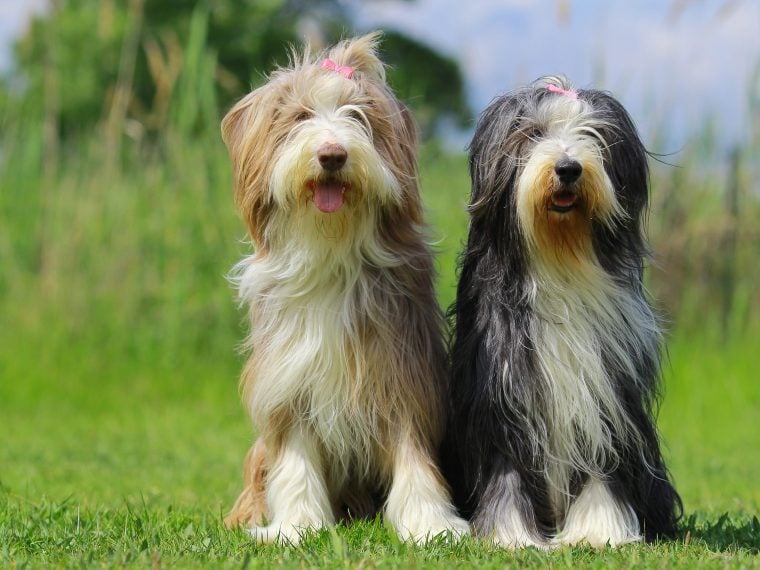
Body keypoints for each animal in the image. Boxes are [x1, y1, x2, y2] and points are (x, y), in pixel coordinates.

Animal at [220, 33, 470, 544]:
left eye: (359, 117)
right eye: (300, 117)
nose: (333, 154)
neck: (331, 254)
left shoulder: (402, 369)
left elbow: (412, 451)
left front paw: (429, 523)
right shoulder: (289, 379)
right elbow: (295, 459)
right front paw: (296, 526)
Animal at [446, 76, 684, 544]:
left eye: (593, 134)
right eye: (534, 133)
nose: (569, 168)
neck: (561, 261)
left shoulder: (606, 391)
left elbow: (602, 464)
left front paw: (599, 530)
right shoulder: (501, 394)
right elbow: (506, 469)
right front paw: (511, 536)